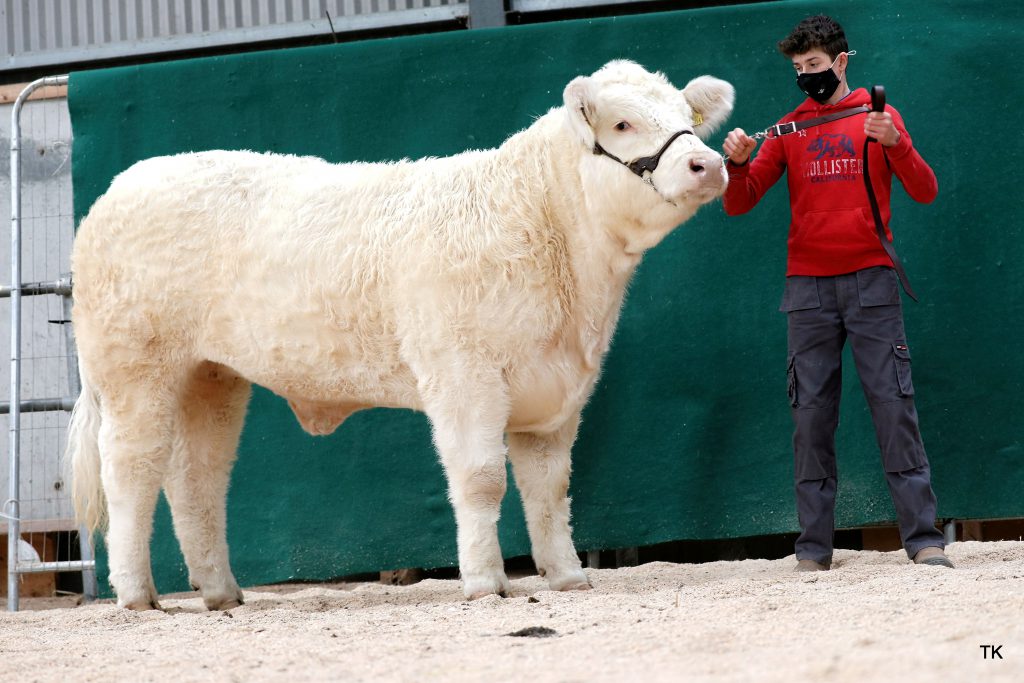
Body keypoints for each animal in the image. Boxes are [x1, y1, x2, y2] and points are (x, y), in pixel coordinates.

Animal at [66, 60, 734, 610]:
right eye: (622, 123)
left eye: (688, 118)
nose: (709, 163)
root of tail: (125, 184)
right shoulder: (462, 374)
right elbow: (482, 479)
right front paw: (485, 582)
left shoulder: (558, 392)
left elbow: (550, 488)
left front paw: (567, 576)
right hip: (135, 371)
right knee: (130, 469)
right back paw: (137, 596)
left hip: (211, 375)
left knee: (197, 476)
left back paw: (220, 591)